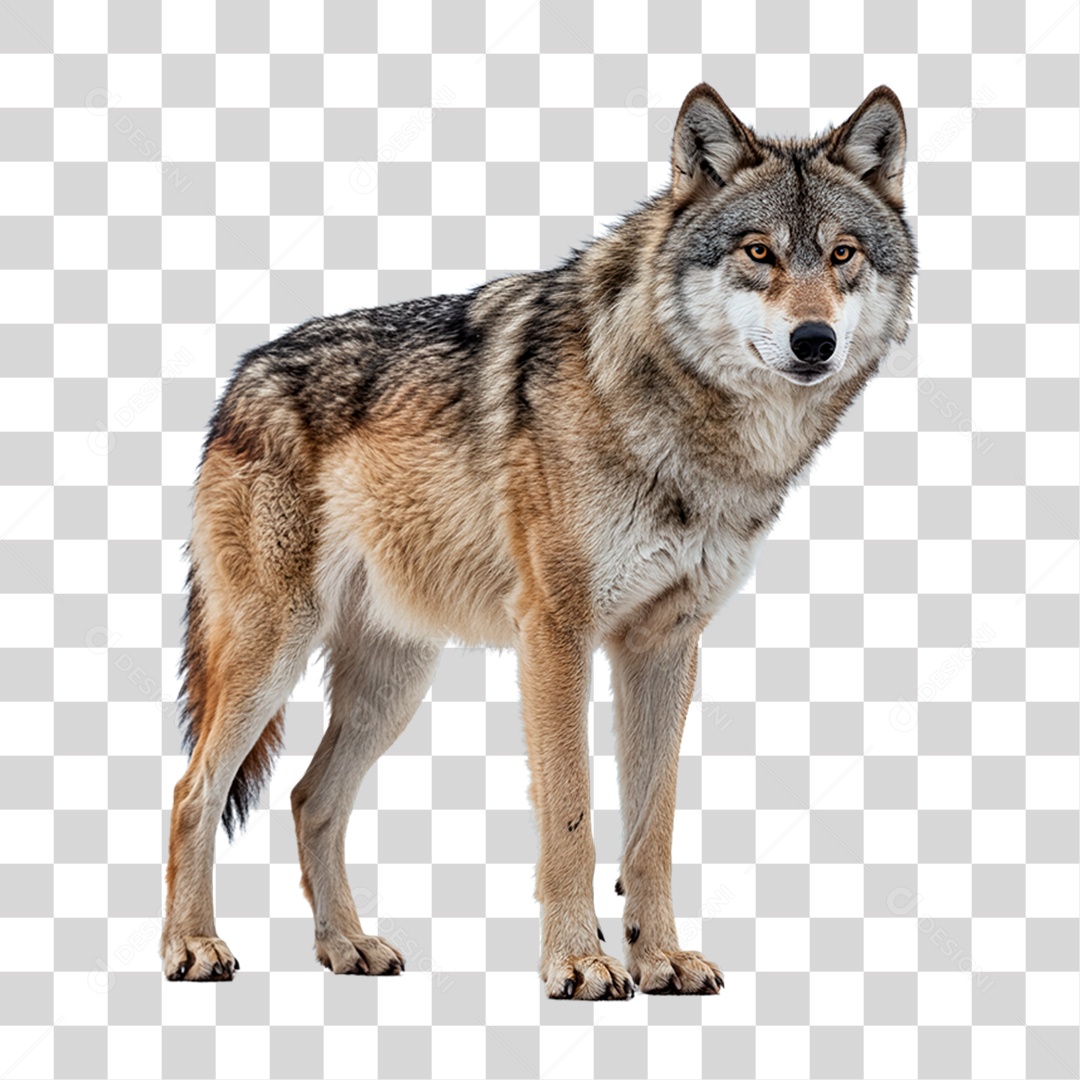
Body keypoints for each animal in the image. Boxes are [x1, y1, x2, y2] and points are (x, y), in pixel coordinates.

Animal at [162, 83, 916, 998]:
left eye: (843, 254)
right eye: (758, 252)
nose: (815, 341)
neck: (689, 434)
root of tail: (238, 381)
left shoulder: (665, 645)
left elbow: (653, 828)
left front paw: (659, 958)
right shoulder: (557, 632)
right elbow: (572, 817)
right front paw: (581, 961)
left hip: (395, 682)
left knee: (312, 798)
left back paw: (348, 946)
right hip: (273, 651)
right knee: (195, 790)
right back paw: (193, 946)